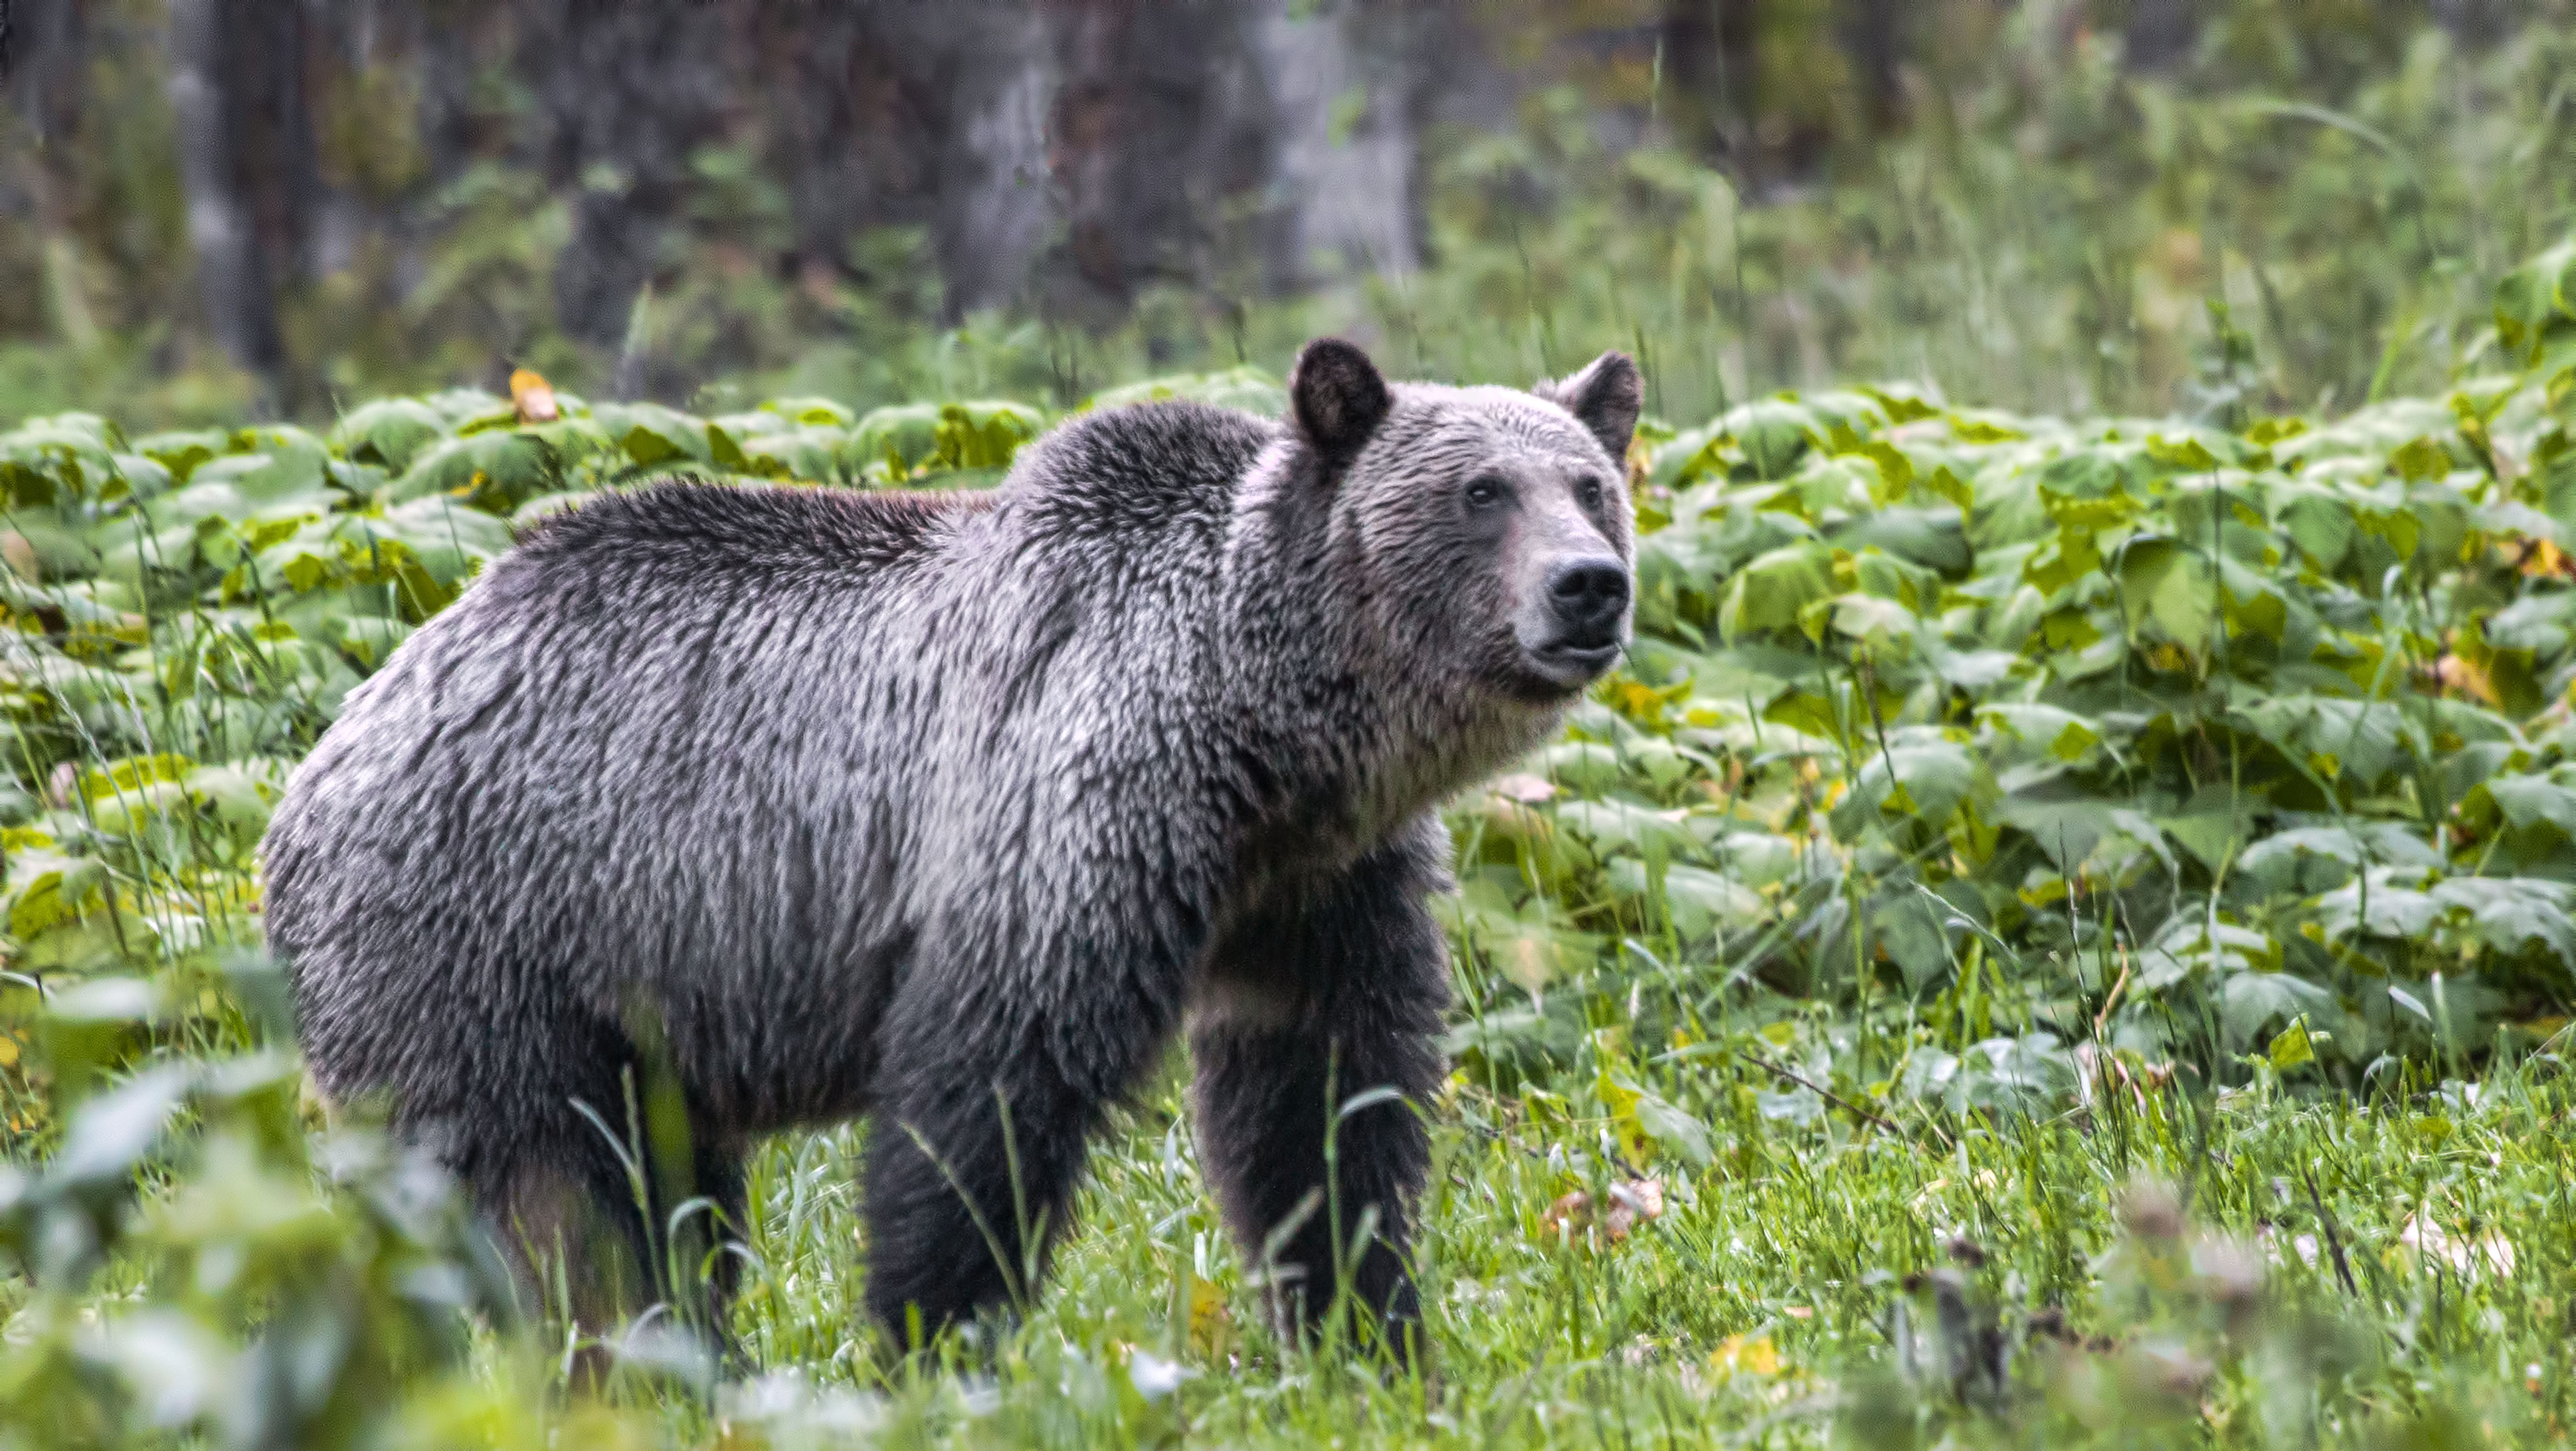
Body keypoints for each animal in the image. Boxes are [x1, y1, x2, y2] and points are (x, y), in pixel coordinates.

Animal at [259, 337, 1642, 1357]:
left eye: (1591, 485)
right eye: (1480, 491)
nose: (1589, 585)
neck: (1261, 725)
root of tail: (335, 739)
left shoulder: (1313, 884)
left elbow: (1320, 1103)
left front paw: (1367, 1331)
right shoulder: (1070, 804)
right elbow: (989, 1091)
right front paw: (929, 1340)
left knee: (668, 1194)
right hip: (489, 928)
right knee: (551, 1198)